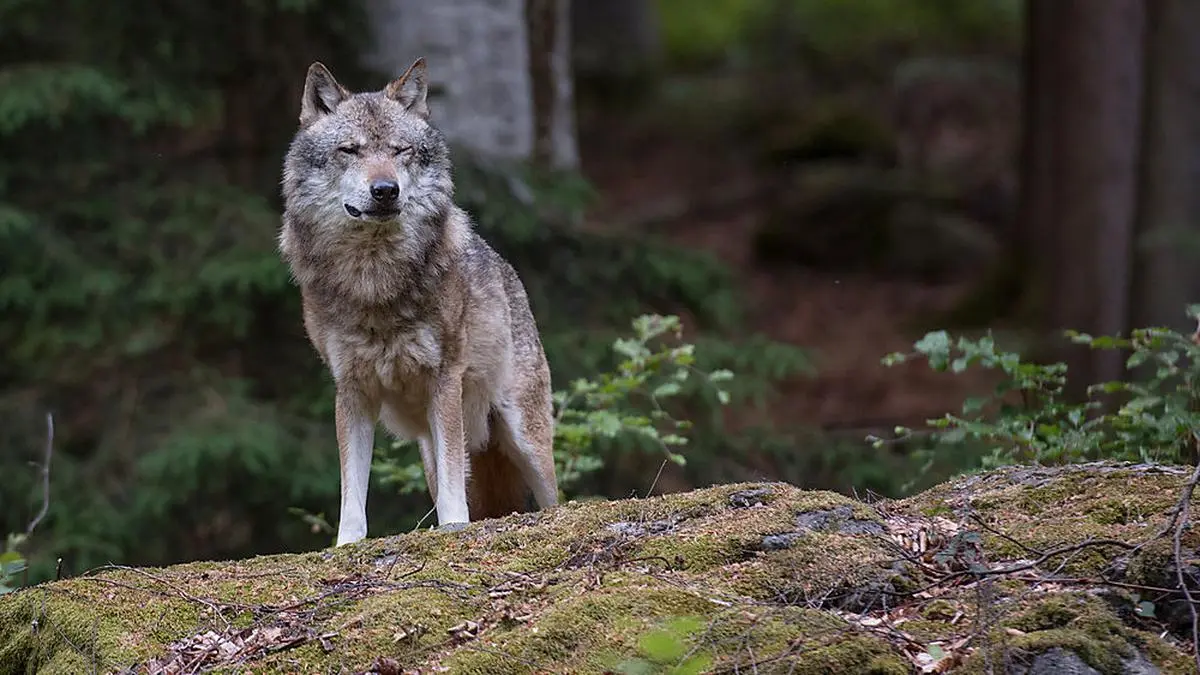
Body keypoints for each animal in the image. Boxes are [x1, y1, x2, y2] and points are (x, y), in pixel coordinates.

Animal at [278, 58, 559, 546]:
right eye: (349, 151)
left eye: (400, 150)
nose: (385, 190)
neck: (374, 280)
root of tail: (510, 275)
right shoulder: (351, 390)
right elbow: (352, 490)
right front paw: (346, 546)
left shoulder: (444, 380)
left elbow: (451, 490)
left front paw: (453, 529)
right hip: (433, 447)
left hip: (523, 435)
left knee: (555, 500)